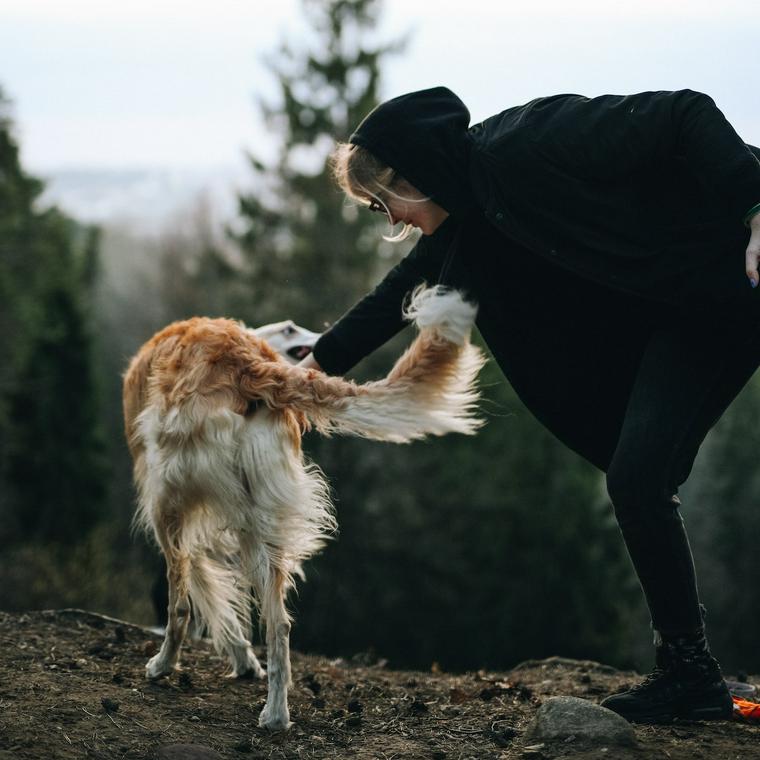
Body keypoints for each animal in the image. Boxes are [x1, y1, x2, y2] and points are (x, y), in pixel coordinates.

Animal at [121, 284, 484, 732]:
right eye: (291, 328)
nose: (324, 335)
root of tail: (246, 360)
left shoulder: (185, 515)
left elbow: (204, 595)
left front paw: (231, 657)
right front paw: (245, 661)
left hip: (172, 503)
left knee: (181, 606)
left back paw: (163, 665)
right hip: (258, 520)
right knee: (280, 624)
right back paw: (276, 714)